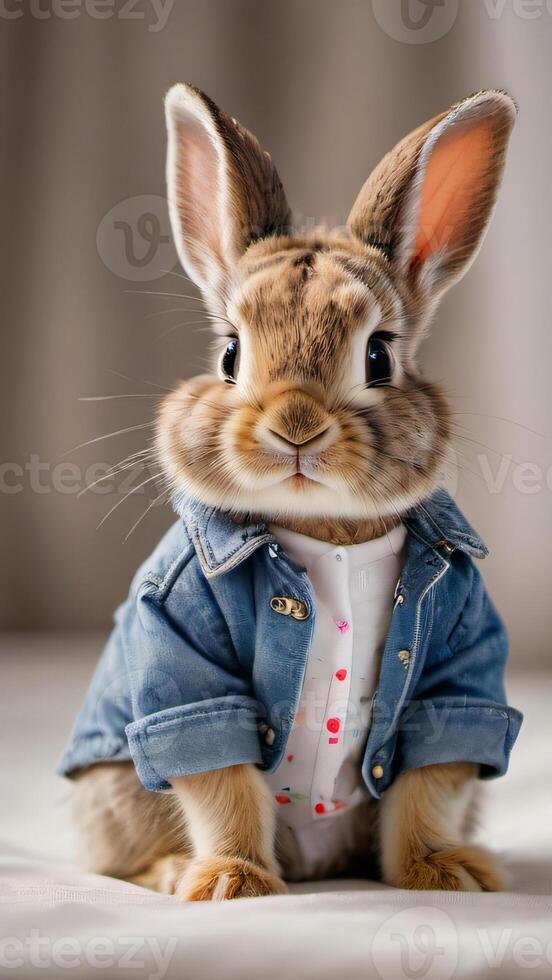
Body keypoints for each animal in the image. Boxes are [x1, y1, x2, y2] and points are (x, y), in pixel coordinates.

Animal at [61, 88, 520, 900]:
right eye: (229, 354)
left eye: (378, 357)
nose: (295, 426)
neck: (327, 530)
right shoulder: (185, 662)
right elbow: (220, 778)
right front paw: (232, 884)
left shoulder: (456, 664)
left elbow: (432, 778)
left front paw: (445, 875)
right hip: (116, 793)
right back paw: (178, 870)